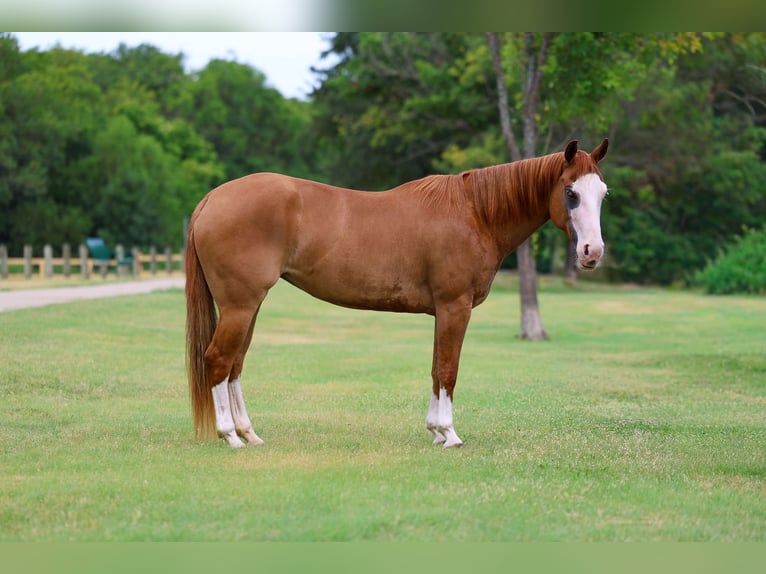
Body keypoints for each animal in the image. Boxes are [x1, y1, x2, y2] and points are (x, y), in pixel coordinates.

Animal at [186, 139, 609, 448]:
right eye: (571, 192)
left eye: (602, 193)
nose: (592, 253)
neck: (476, 213)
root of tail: (212, 198)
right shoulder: (455, 307)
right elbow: (448, 369)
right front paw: (449, 434)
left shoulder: (444, 311)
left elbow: (436, 368)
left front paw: (435, 430)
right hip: (240, 305)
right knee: (218, 359)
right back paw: (229, 436)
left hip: (249, 306)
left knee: (236, 364)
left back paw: (249, 434)